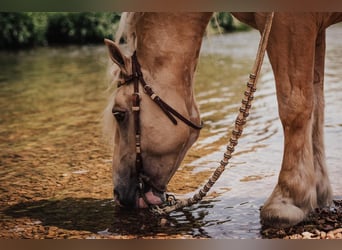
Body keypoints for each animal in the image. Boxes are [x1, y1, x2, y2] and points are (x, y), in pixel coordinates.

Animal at [104, 13, 342, 229]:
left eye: (119, 113)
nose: (118, 195)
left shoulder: (291, 26)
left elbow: (294, 106)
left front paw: (287, 202)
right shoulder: (315, 30)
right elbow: (316, 106)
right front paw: (319, 194)